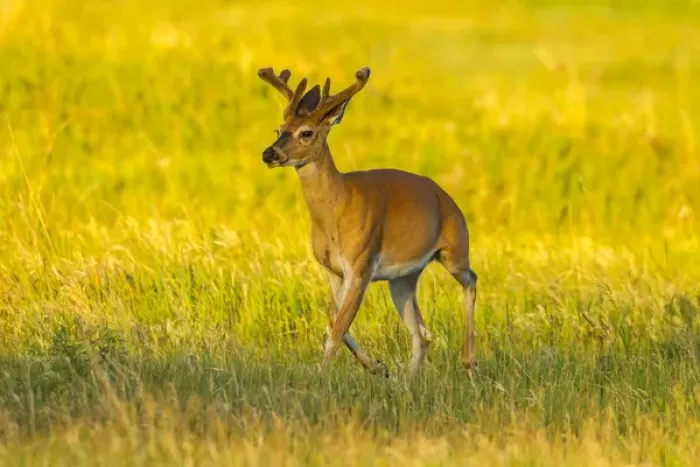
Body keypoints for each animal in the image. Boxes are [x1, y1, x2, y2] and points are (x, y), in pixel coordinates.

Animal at [258, 66, 478, 377]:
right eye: (278, 130)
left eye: (307, 132)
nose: (270, 153)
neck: (335, 209)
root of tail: (447, 198)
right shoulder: (332, 270)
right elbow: (334, 319)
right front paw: (377, 366)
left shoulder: (361, 264)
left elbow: (337, 329)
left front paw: (320, 375)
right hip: (403, 278)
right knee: (422, 334)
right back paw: (407, 379)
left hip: (455, 249)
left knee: (471, 281)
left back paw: (469, 362)